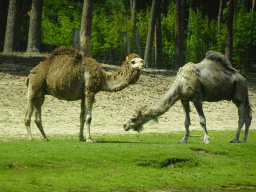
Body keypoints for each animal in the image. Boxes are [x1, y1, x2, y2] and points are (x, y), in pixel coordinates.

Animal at [123, 50, 252, 143]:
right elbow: (186, 122)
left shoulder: (197, 99)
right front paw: (183, 140)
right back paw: (244, 140)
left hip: (239, 95)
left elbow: (202, 120)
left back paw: (235, 139)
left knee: (241, 119)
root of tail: (244, 80)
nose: (124, 125)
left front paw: (206, 140)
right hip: (239, 97)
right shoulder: (183, 99)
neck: (180, 84)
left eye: (134, 118)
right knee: (248, 118)